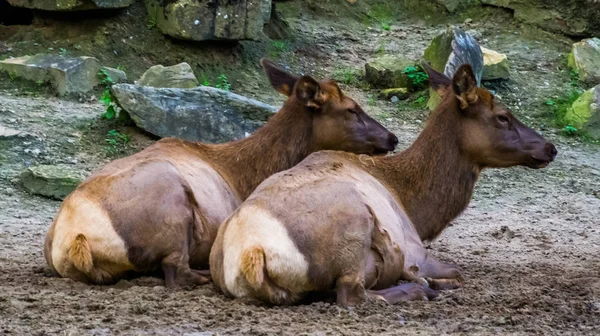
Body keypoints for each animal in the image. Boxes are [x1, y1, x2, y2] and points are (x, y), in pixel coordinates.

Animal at [44, 59, 400, 288]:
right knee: (176, 271)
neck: (243, 173)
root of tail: (77, 238)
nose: (392, 137)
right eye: (352, 109)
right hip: (171, 203)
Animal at [211, 63, 556, 308]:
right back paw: (420, 288)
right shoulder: (416, 249)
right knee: (352, 295)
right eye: (502, 116)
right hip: (353, 229)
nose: (550, 147)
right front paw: (432, 283)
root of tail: (252, 253)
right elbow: (458, 271)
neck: (411, 203)